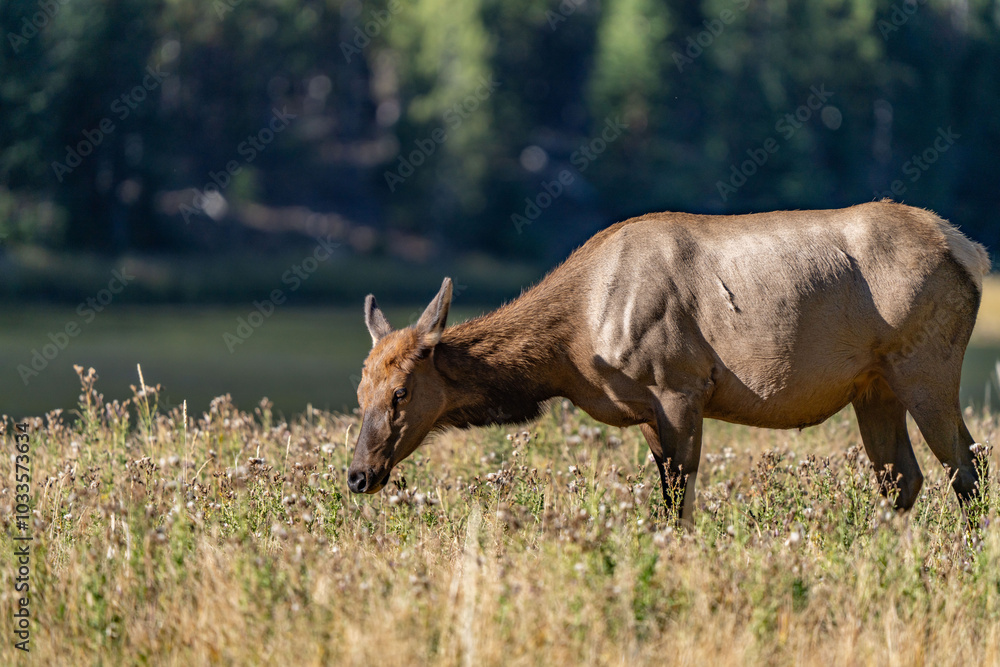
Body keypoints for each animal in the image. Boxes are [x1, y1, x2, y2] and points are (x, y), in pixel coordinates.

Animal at [348, 200, 991, 523]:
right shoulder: (646, 411)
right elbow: (665, 498)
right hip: (873, 386)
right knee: (903, 478)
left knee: (967, 466)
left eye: (401, 392)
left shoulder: (680, 386)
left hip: (926, 366)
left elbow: (681, 502)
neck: (573, 348)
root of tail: (970, 250)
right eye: (359, 396)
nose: (357, 475)